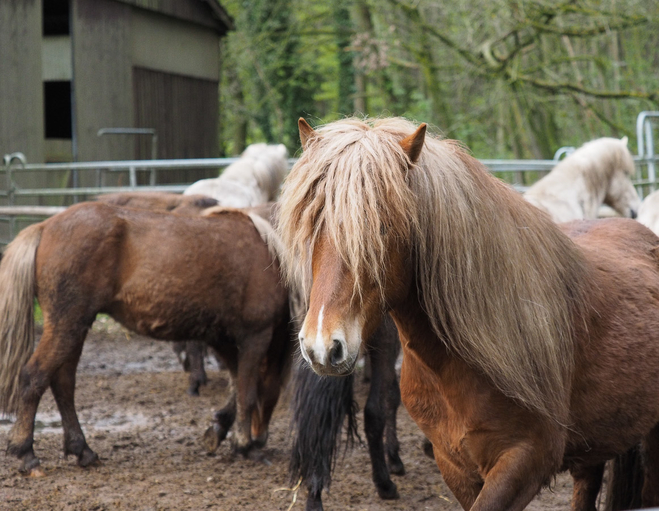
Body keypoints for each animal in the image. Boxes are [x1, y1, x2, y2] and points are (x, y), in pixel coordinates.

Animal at [0, 201, 294, 476]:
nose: (261, 437)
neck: (266, 251)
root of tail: (45, 227)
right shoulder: (255, 336)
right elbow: (247, 390)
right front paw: (244, 445)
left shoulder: (222, 340)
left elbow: (236, 386)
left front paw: (221, 428)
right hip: (66, 326)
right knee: (34, 377)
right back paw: (26, 453)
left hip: (75, 327)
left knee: (63, 383)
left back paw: (81, 449)